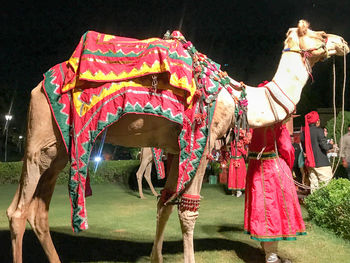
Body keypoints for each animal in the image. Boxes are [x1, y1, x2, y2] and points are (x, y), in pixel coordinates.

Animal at [6, 19, 348, 263]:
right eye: (320, 33)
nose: (342, 42)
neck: (241, 98)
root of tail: (38, 87)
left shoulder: (175, 148)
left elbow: (165, 205)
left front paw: (156, 257)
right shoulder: (201, 144)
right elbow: (187, 211)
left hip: (61, 149)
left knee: (38, 212)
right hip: (40, 140)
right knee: (18, 212)